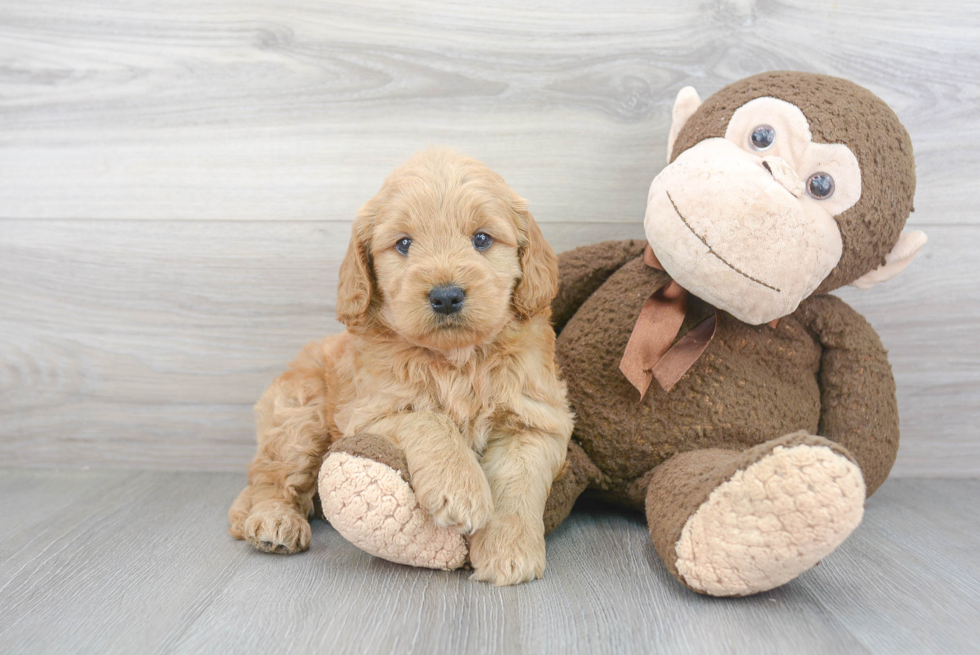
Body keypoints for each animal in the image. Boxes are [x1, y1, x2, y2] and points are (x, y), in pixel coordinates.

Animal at [230, 150, 576, 588]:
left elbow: (517, 483)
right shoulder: (370, 412)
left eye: (481, 239)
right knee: (269, 477)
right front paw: (459, 488)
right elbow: (429, 419)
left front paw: (508, 552)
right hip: (299, 417)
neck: (457, 361)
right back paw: (273, 521)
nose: (446, 296)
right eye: (404, 244)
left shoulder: (535, 419)